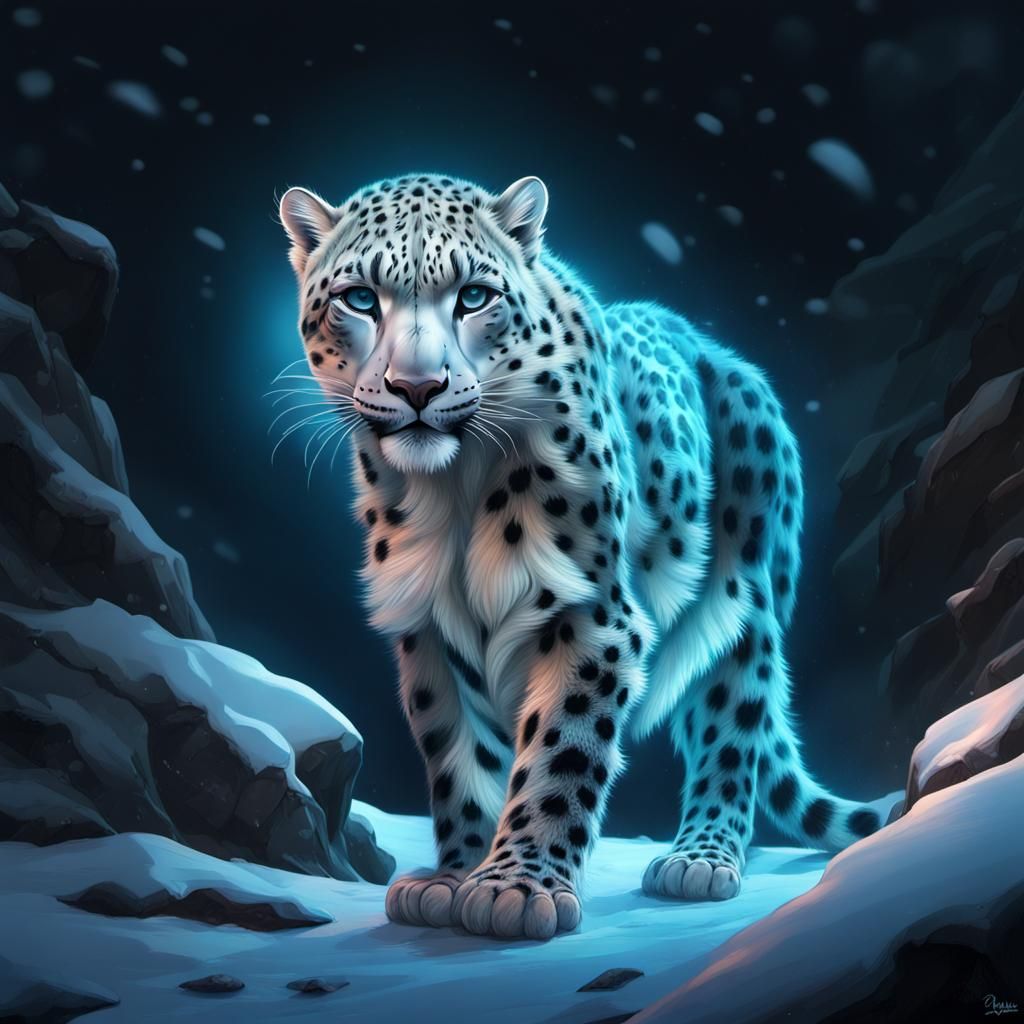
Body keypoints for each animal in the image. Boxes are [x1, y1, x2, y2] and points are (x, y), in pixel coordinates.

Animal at [276, 172, 884, 941]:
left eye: (473, 295)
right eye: (360, 298)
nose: (417, 388)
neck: (453, 491)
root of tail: (708, 344)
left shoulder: (592, 615)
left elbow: (560, 749)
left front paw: (517, 888)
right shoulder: (427, 629)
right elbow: (458, 758)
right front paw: (453, 876)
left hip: (743, 603)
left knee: (732, 722)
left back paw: (700, 858)